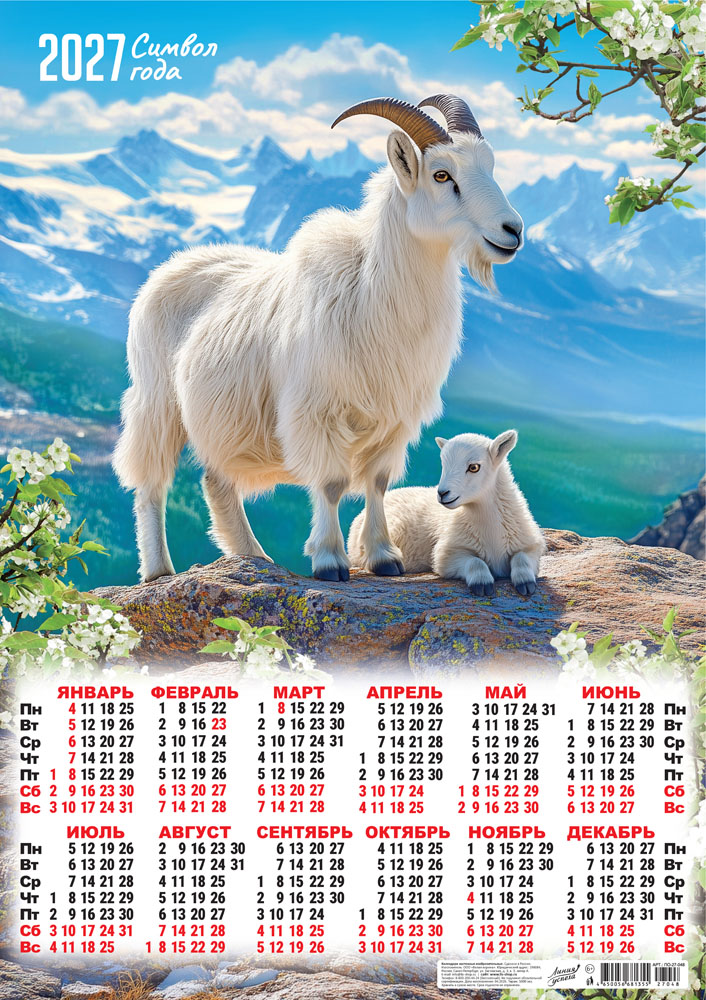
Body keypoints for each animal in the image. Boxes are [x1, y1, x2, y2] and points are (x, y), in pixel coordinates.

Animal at [113, 94, 523, 582]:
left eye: (491, 165)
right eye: (442, 174)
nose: (513, 231)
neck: (372, 289)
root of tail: (165, 270)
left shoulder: (393, 419)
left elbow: (376, 484)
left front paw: (385, 558)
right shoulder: (317, 411)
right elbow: (331, 483)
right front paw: (329, 561)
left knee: (216, 482)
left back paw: (254, 557)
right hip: (156, 403)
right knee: (151, 484)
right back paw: (159, 570)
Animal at [348, 430, 546, 596]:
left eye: (474, 467)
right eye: (443, 464)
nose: (442, 493)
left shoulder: (531, 545)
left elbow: (521, 559)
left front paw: (525, 583)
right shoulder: (447, 554)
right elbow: (475, 562)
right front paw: (482, 584)